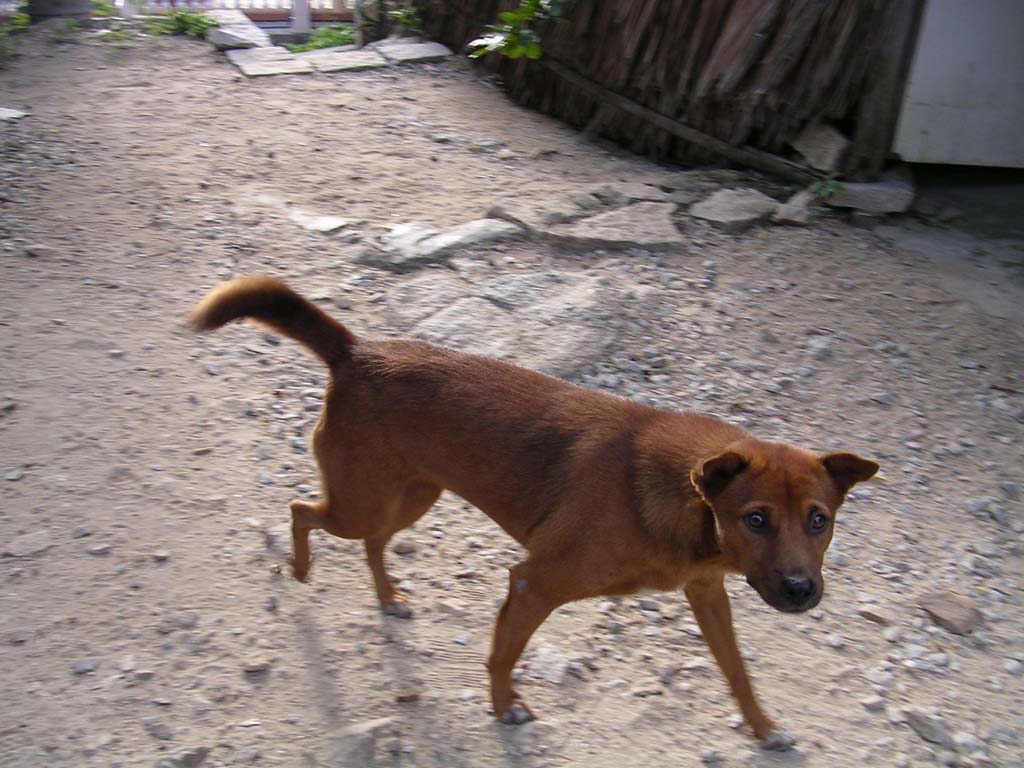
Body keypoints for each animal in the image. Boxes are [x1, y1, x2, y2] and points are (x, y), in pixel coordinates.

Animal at [192, 276, 880, 753]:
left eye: (819, 520)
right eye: (756, 519)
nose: (801, 591)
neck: (690, 508)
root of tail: (357, 353)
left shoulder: (709, 593)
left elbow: (738, 671)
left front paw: (764, 728)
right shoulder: (534, 583)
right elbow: (502, 654)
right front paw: (505, 708)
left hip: (411, 497)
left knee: (371, 542)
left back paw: (388, 598)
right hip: (362, 500)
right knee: (301, 509)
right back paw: (302, 570)